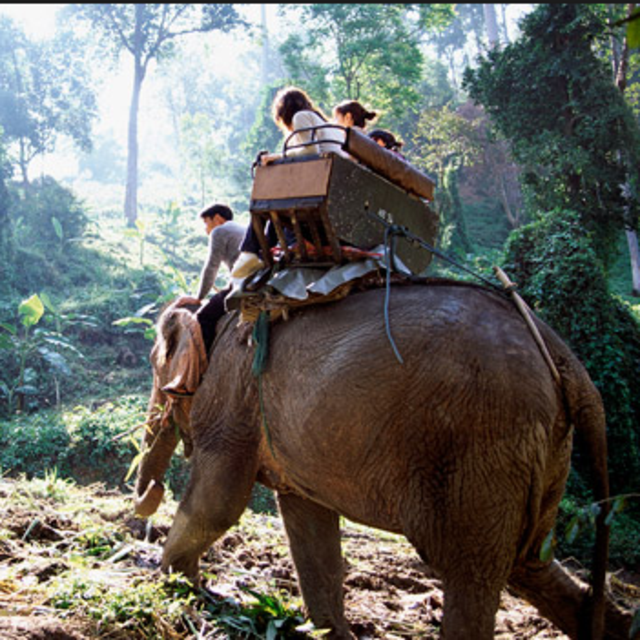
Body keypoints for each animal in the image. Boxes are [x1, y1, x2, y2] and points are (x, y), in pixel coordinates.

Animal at [134, 279, 635, 639]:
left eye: (156, 370)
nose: (146, 497)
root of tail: (567, 362)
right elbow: (307, 520)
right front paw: (327, 634)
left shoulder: (232, 395)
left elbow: (218, 503)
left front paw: (170, 583)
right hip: (540, 454)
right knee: (529, 565)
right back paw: (622, 626)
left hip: (480, 447)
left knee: (470, 571)